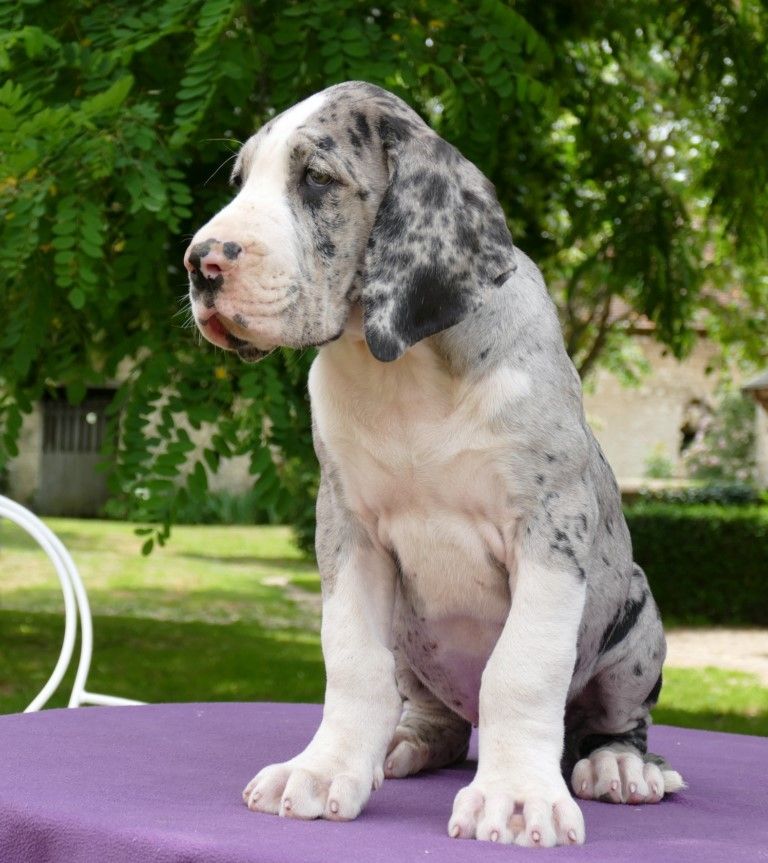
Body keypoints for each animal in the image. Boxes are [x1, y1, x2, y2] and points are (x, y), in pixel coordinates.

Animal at [184, 81, 684, 847]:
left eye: (317, 179)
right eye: (241, 182)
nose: (200, 263)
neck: (404, 368)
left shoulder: (550, 525)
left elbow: (522, 668)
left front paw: (516, 796)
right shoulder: (348, 530)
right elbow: (352, 661)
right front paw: (324, 769)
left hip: (638, 617)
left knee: (612, 722)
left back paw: (619, 766)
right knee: (435, 715)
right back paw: (403, 741)